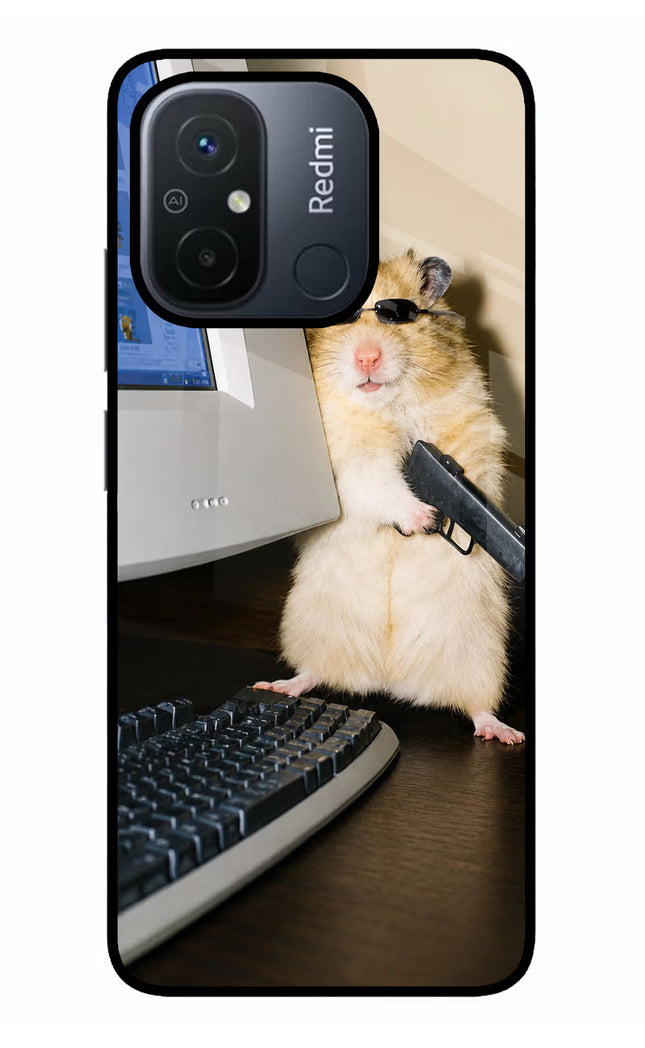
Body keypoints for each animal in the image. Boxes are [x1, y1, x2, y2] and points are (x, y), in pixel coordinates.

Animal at [256, 250, 524, 744]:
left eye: (398, 315)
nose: (367, 357)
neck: (388, 405)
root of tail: (389, 678)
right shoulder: (348, 459)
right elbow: (378, 483)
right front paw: (424, 518)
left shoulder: (472, 429)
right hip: (312, 626)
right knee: (313, 672)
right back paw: (279, 685)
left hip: (480, 654)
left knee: (477, 706)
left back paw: (504, 732)